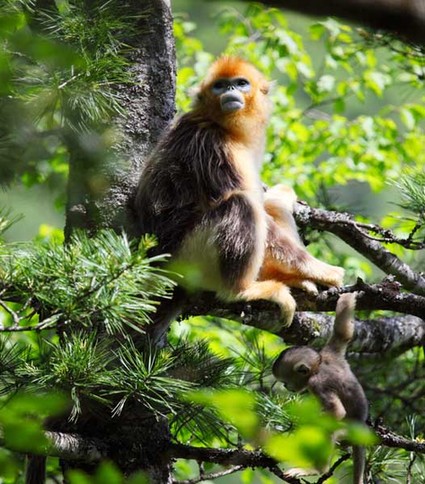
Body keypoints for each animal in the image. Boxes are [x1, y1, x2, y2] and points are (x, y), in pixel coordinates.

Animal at [274, 292, 366, 484]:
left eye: (286, 380)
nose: (286, 386)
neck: (318, 366)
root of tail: (360, 427)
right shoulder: (331, 352)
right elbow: (343, 333)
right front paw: (347, 296)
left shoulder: (317, 384)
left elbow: (336, 411)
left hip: (344, 432)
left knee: (328, 432)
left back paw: (316, 469)